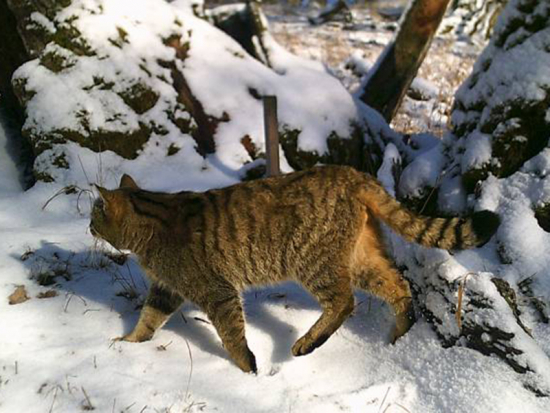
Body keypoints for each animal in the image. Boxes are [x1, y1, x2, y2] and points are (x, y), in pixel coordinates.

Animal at [89, 166, 500, 372]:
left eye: (95, 213)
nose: (89, 226)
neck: (153, 219)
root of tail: (354, 173)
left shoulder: (215, 291)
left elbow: (232, 335)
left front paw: (247, 368)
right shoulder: (165, 290)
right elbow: (146, 321)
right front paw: (128, 345)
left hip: (313, 261)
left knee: (344, 302)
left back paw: (306, 343)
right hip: (361, 259)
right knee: (398, 287)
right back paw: (397, 335)